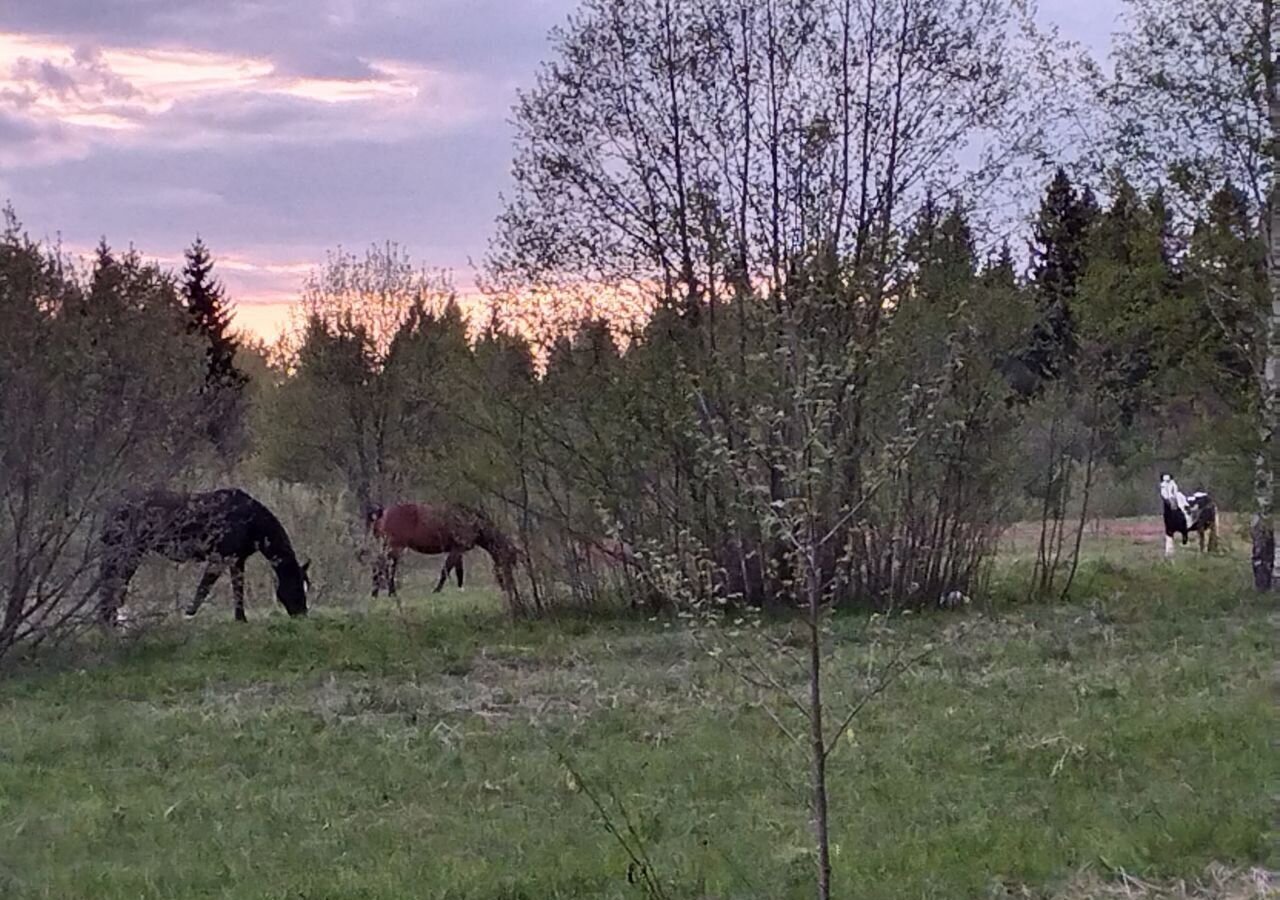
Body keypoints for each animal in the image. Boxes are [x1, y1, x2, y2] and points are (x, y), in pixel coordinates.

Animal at [98, 486, 311, 627]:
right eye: (295, 586)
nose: (302, 614)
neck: (251, 520)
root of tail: (112, 510)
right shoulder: (219, 558)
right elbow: (204, 588)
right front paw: (189, 612)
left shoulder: (237, 560)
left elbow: (238, 589)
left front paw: (240, 619)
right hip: (127, 554)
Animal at [366, 504, 519, 601]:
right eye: (507, 561)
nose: (506, 587)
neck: (472, 522)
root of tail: (381, 513)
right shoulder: (456, 550)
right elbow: (446, 570)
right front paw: (437, 590)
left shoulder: (457, 550)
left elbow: (459, 571)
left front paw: (460, 590)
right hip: (394, 547)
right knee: (383, 566)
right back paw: (390, 593)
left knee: (379, 565)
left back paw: (376, 594)